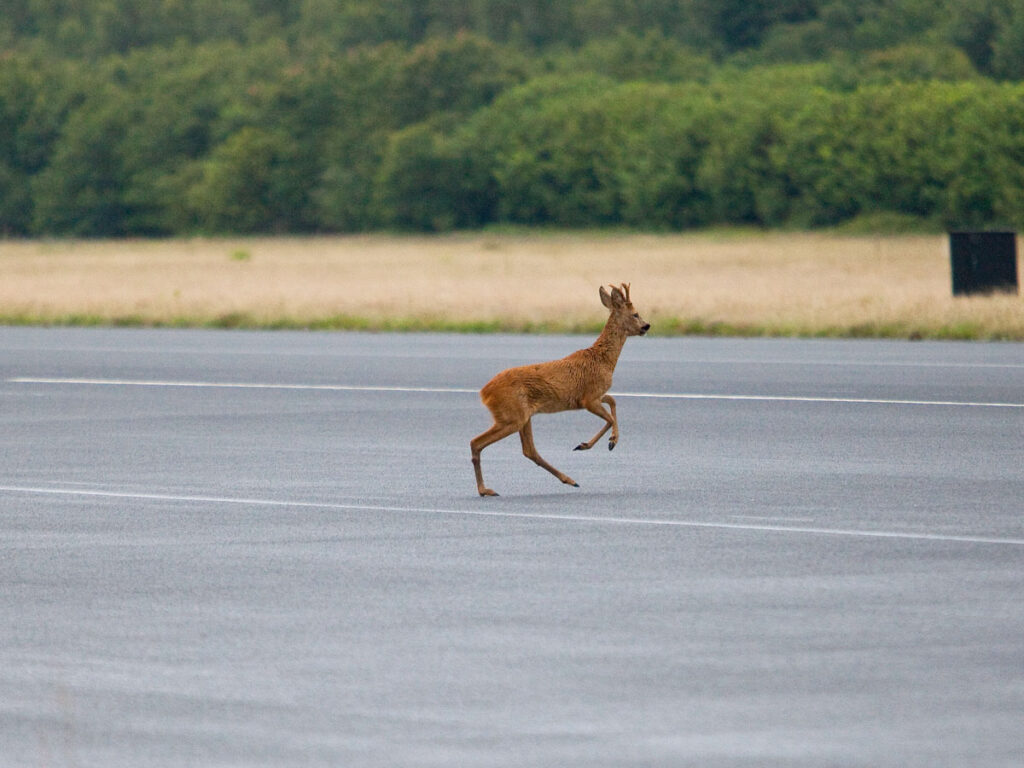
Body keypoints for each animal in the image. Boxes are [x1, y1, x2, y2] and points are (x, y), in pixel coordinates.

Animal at [471, 283, 650, 496]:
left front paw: (594, 443)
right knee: (476, 442)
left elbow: (613, 401)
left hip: (523, 417)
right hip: (511, 416)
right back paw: (485, 490)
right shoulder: (588, 398)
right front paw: (606, 442)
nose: (647, 326)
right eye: (635, 314)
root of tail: (484, 393)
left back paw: (569, 480)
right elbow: (610, 418)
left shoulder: (594, 396)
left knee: (529, 450)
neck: (603, 360)